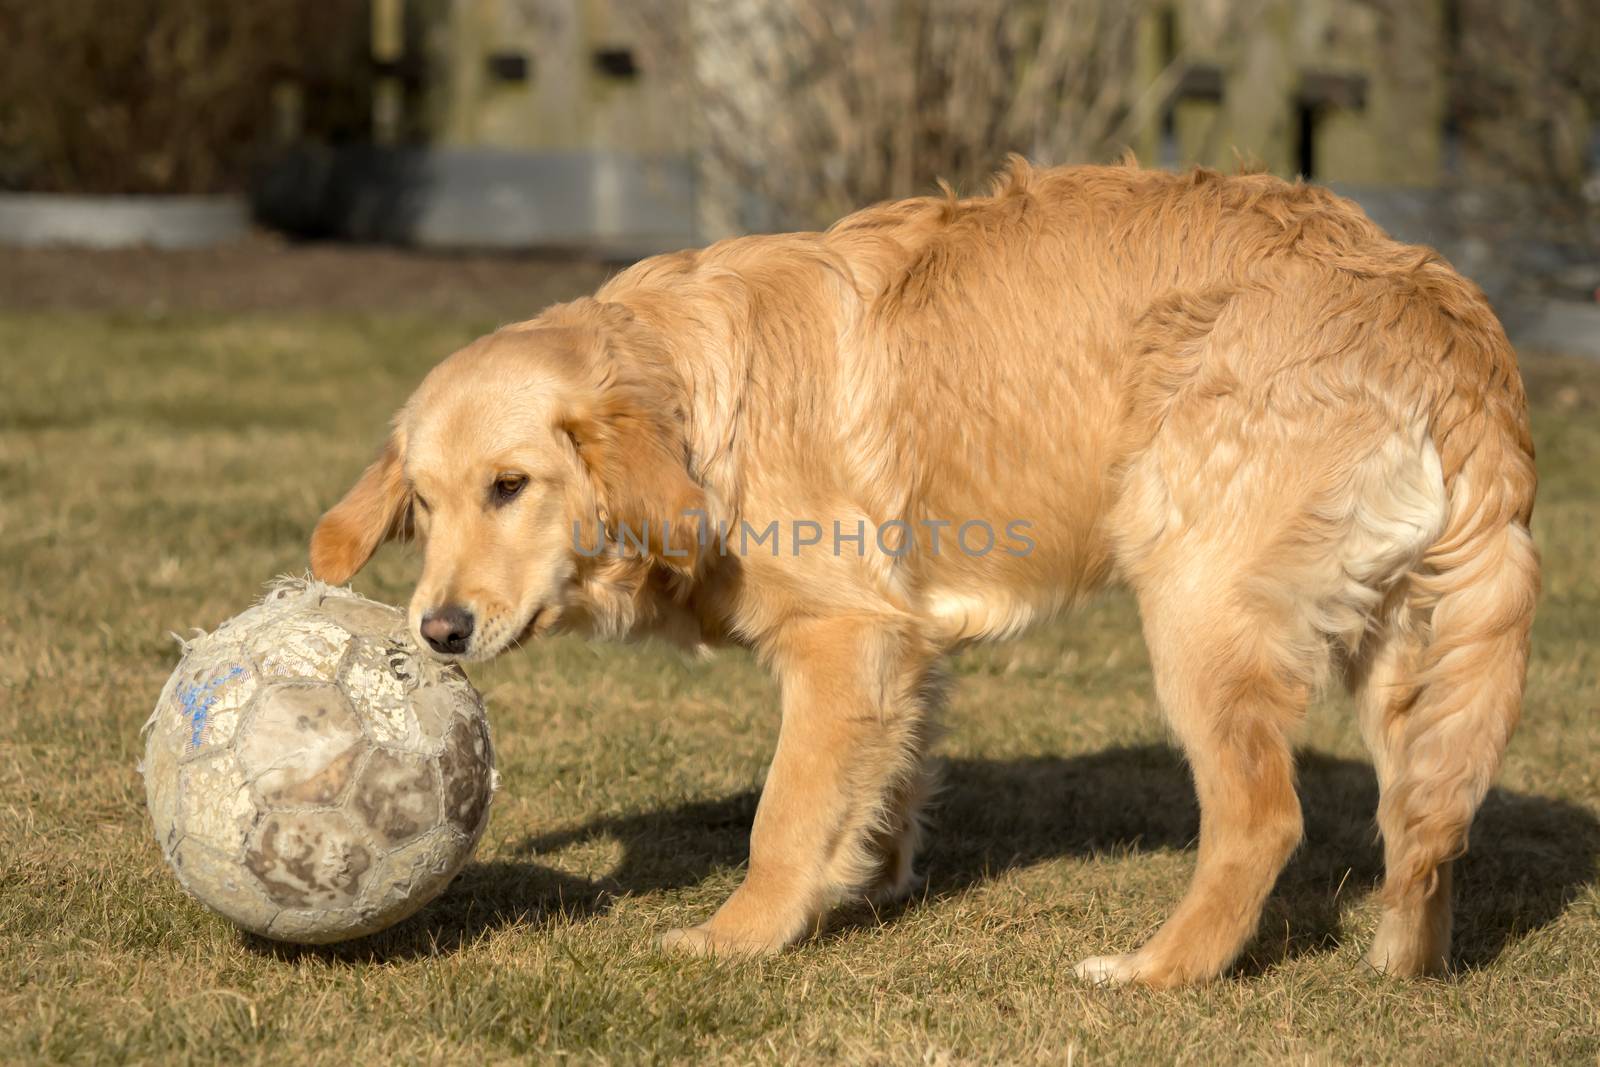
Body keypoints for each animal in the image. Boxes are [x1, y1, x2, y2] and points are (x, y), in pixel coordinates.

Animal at [308, 163, 1536, 991]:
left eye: (510, 485)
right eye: (424, 504)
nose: (438, 630)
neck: (699, 397)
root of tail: (1440, 313)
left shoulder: (843, 636)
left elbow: (784, 812)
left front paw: (741, 934)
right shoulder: (903, 646)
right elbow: (880, 783)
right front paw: (866, 878)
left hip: (1197, 611)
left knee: (1263, 820)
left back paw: (1158, 969)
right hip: (1404, 654)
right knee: (1426, 822)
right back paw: (1402, 957)